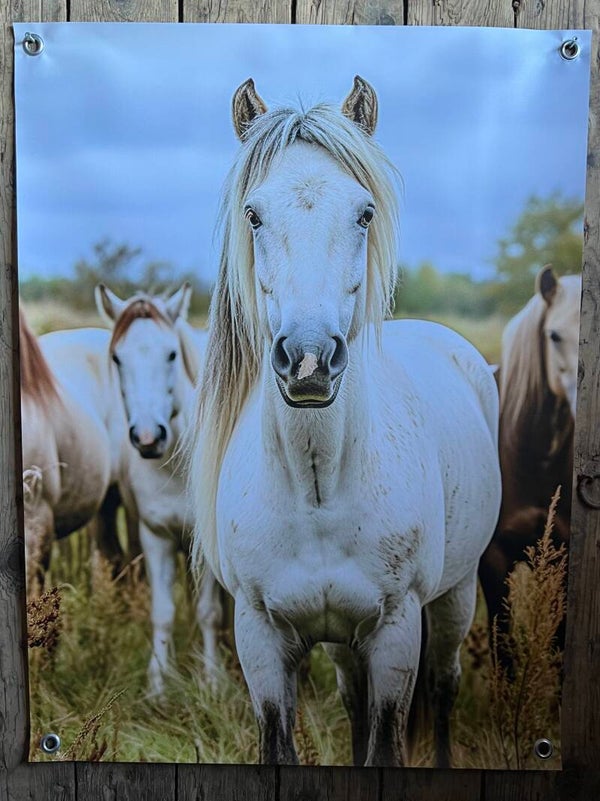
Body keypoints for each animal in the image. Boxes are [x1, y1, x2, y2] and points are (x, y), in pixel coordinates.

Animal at [95, 283, 224, 696]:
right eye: (117, 358)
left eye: (171, 353)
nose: (149, 438)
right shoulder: (155, 536)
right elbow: (162, 612)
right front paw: (158, 684)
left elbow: (209, 612)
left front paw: (212, 680)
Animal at [188, 76, 501, 767]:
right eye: (253, 214)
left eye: (364, 213)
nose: (308, 360)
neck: (318, 487)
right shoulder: (261, 640)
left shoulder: (394, 633)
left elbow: (385, 746)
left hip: (455, 599)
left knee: (444, 688)